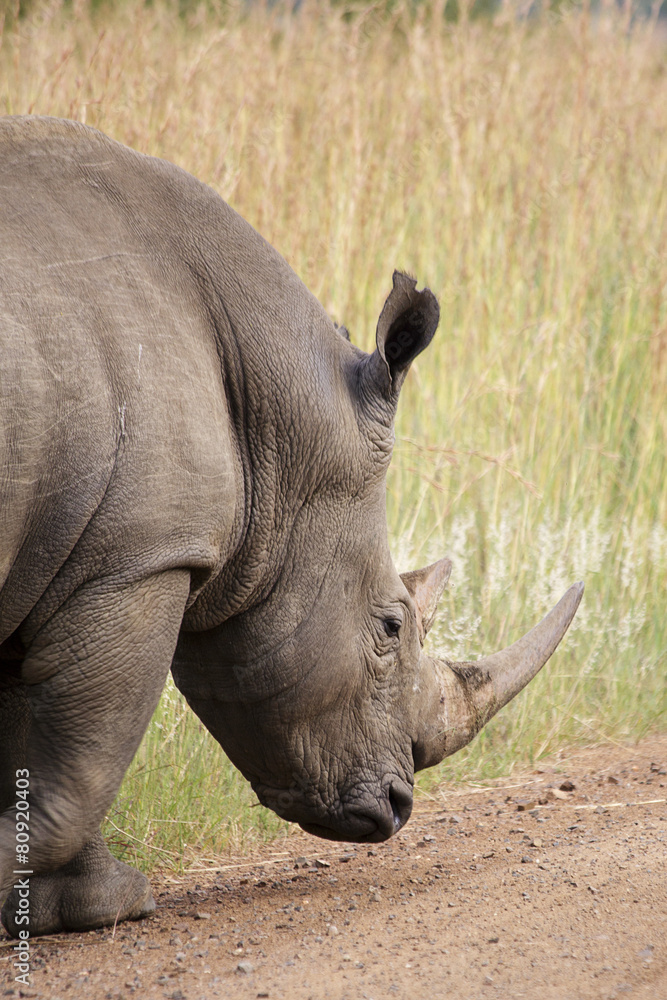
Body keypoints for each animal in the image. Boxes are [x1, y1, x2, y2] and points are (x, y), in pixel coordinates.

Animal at [0, 116, 582, 938]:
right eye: (390, 628)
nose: (399, 807)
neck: (277, 416)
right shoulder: (135, 559)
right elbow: (82, 758)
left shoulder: (66, 557)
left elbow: (36, 749)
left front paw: (75, 907)